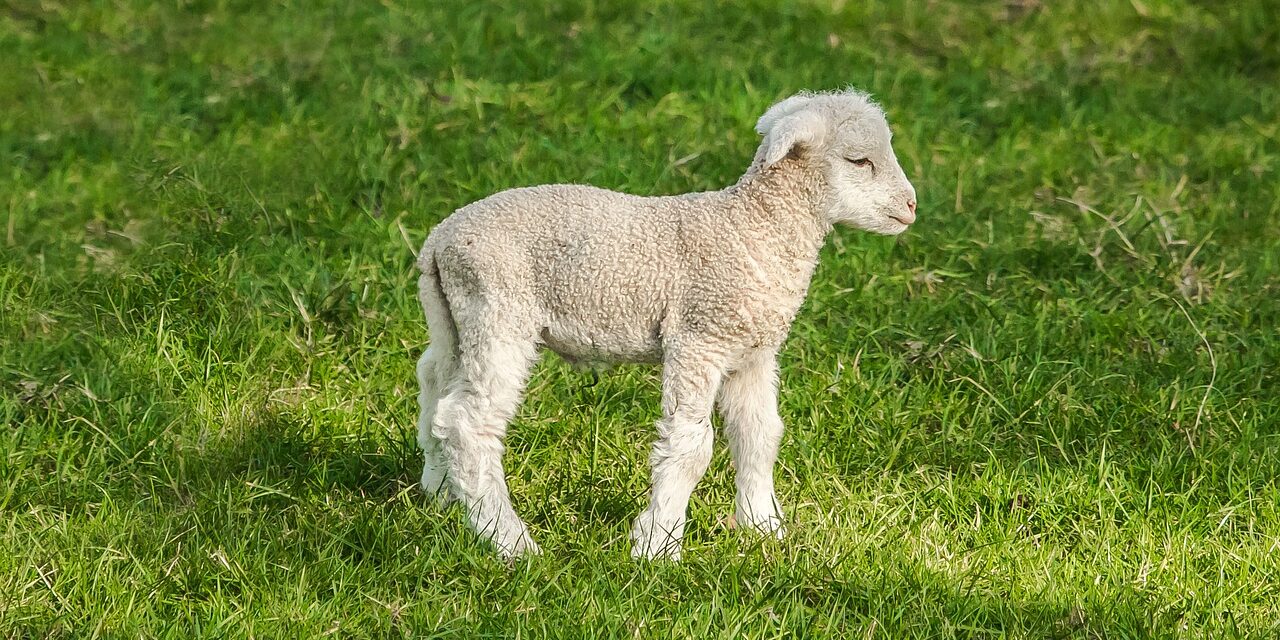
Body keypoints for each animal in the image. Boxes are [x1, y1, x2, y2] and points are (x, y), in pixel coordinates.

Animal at [414, 88, 918, 560]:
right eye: (860, 160)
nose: (912, 206)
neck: (755, 226)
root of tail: (439, 241)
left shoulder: (750, 353)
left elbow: (759, 435)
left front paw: (763, 529)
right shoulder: (699, 338)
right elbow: (691, 447)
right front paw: (657, 545)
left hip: (455, 317)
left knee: (435, 387)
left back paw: (440, 495)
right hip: (500, 310)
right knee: (470, 424)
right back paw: (509, 542)